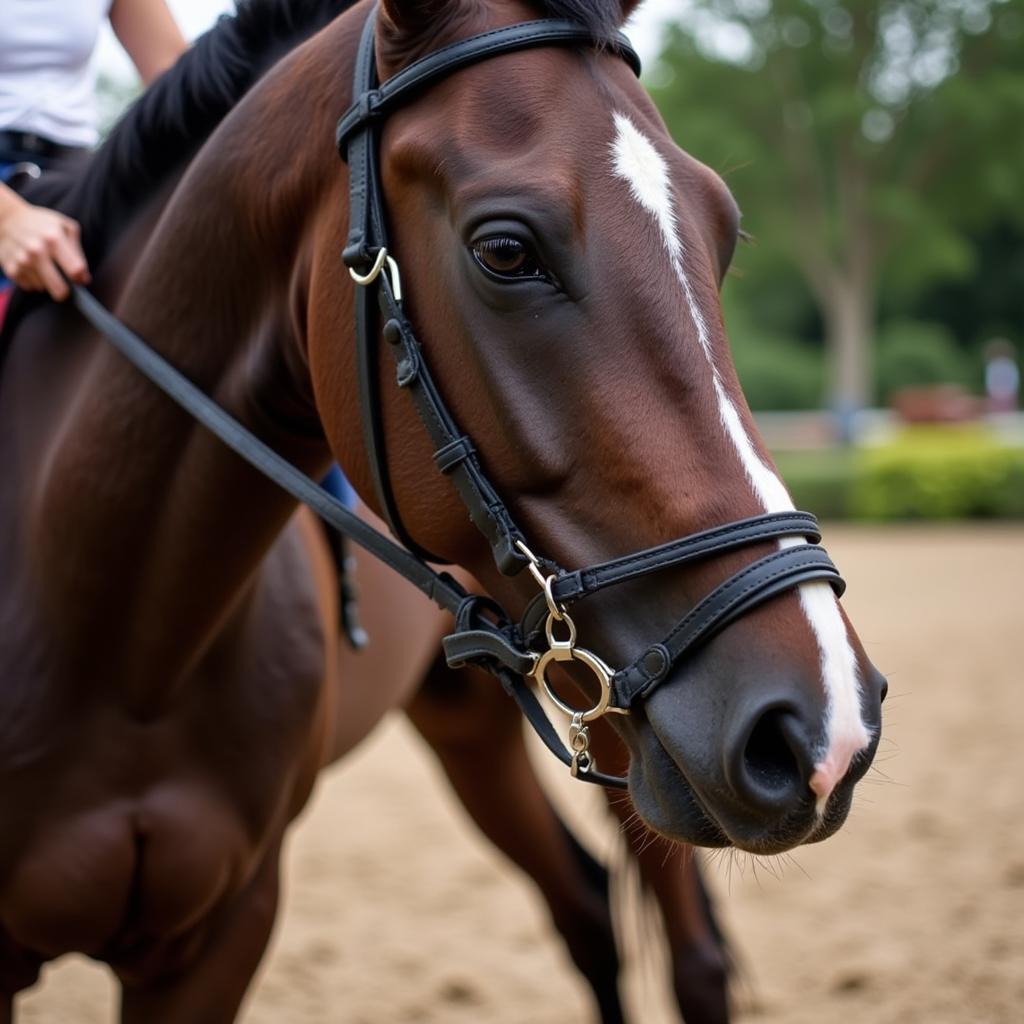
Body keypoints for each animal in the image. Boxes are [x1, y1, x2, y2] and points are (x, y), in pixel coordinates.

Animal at [0, 2, 884, 1024]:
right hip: (482, 724)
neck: (112, 630)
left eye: (725, 234)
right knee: (586, 908)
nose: (825, 728)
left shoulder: (223, 933)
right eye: (506, 250)